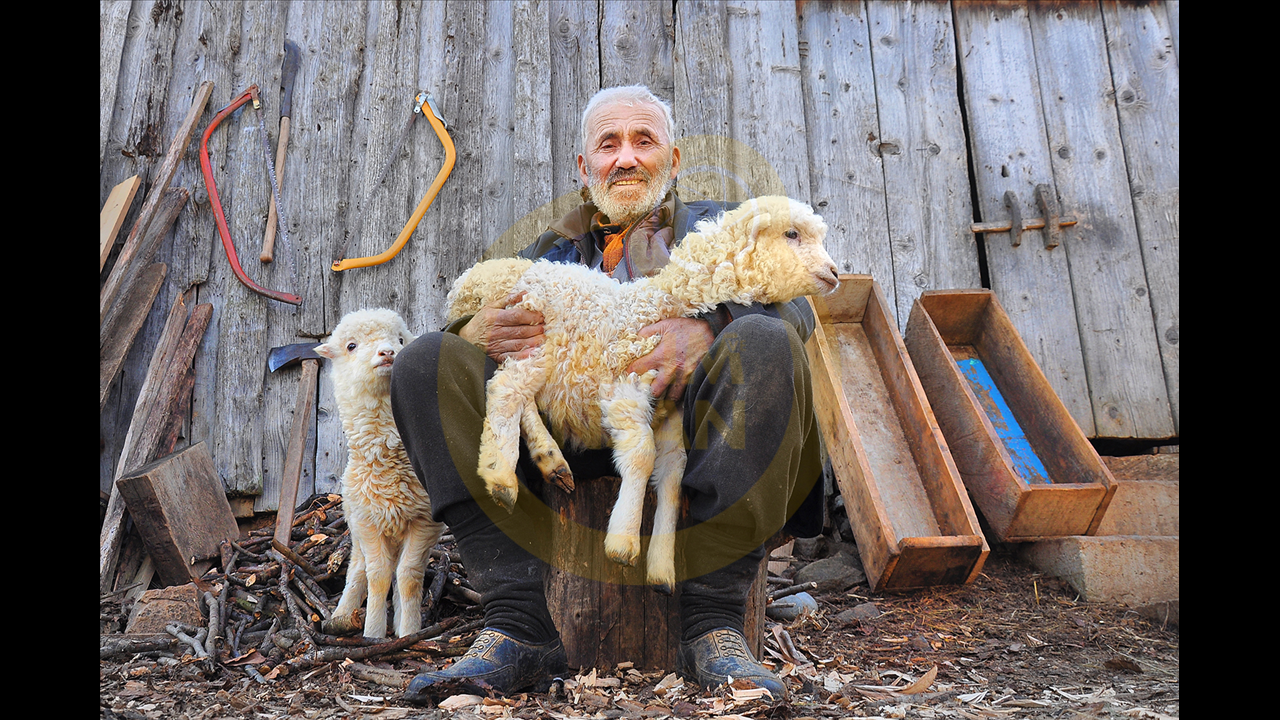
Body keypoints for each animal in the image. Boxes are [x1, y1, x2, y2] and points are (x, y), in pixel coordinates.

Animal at [314, 308, 446, 639]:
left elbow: (409, 576)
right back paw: (341, 615)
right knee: (358, 569)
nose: (388, 352)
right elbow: (377, 575)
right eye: (351, 346)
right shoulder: (367, 522)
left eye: (401, 340)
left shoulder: (425, 520)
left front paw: (409, 632)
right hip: (355, 526)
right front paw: (372, 633)